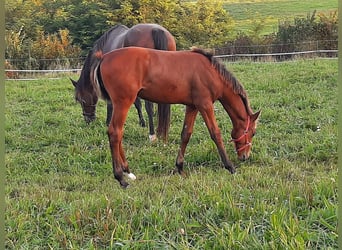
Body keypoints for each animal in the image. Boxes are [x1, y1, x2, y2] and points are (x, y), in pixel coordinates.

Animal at [83, 47, 262, 188]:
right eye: (253, 133)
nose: (245, 156)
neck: (211, 72)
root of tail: (103, 57)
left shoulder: (192, 106)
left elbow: (186, 134)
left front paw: (180, 168)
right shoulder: (205, 105)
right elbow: (215, 133)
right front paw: (230, 166)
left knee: (118, 133)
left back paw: (128, 171)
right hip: (123, 102)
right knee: (115, 133)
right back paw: (121, 178)